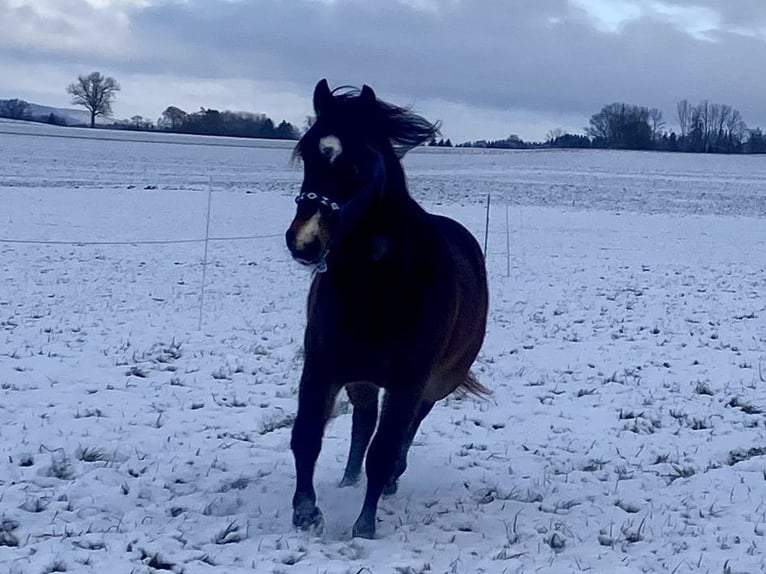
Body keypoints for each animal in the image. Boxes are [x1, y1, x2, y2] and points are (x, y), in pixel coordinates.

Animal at [284, 79, 488, 544]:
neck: (376, 286)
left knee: (405, 431)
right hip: (360, 378)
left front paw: (363, 526)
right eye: (307, 153)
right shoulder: (323, 366)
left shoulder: (409, 381)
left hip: (435, 384)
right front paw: (306, 513)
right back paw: (347, 478)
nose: (304, 242)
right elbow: (306, 435)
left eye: (358, 164)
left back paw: (392, 477)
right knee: (363, 421)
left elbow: (385, 447)